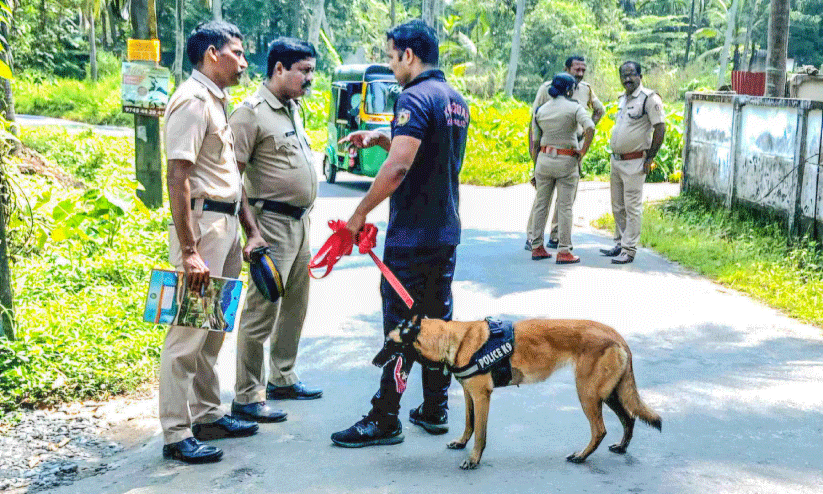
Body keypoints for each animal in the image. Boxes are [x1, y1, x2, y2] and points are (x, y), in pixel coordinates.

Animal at [374, 316, 664, 470]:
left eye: (389, 343)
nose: (375, 362)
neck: (456, 340)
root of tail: (616, 334)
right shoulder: (469, 395)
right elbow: (469, 424)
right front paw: (461, 443)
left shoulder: (482, 397)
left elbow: (480, 433)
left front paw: (474, 459)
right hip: (610, 393)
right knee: (629, 418)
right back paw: (622, 447)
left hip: (588, 394)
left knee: (600, 430)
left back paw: (581, 456)